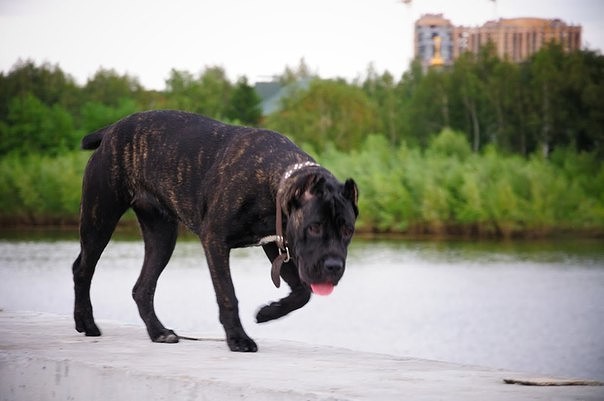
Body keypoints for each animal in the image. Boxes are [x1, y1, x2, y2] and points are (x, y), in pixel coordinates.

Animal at [75, 109, 358, 350]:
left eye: (347, 231)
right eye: (314, 227)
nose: (334, 266)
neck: (274, 182)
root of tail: (111, 130)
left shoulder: (276, 245)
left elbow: (302, 292)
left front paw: (267, 312)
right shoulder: (215, 240)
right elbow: (227, 294)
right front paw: (238, 339)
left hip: (161, 237)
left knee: (143, 287)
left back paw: (158, 332)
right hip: (100, 219)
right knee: (82, 268)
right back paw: (85, 323)